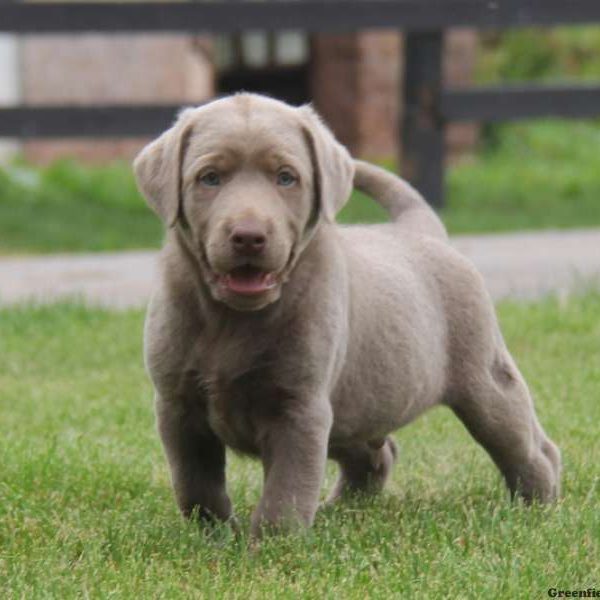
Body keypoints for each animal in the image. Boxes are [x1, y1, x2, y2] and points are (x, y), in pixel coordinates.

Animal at [134, 92, 560, 536]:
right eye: (210, 178)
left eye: (286, 178)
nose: (249, 237)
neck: (232, 317)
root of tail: (419, 230)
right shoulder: (177, 405)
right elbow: (195, 482)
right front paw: (214, 535)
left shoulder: (300, 407)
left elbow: (287, 488)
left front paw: (273, 544)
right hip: (353, 404)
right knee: (377, 453)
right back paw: (342, 507)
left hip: (483, 378)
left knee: (527, 444)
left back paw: (538, 504)